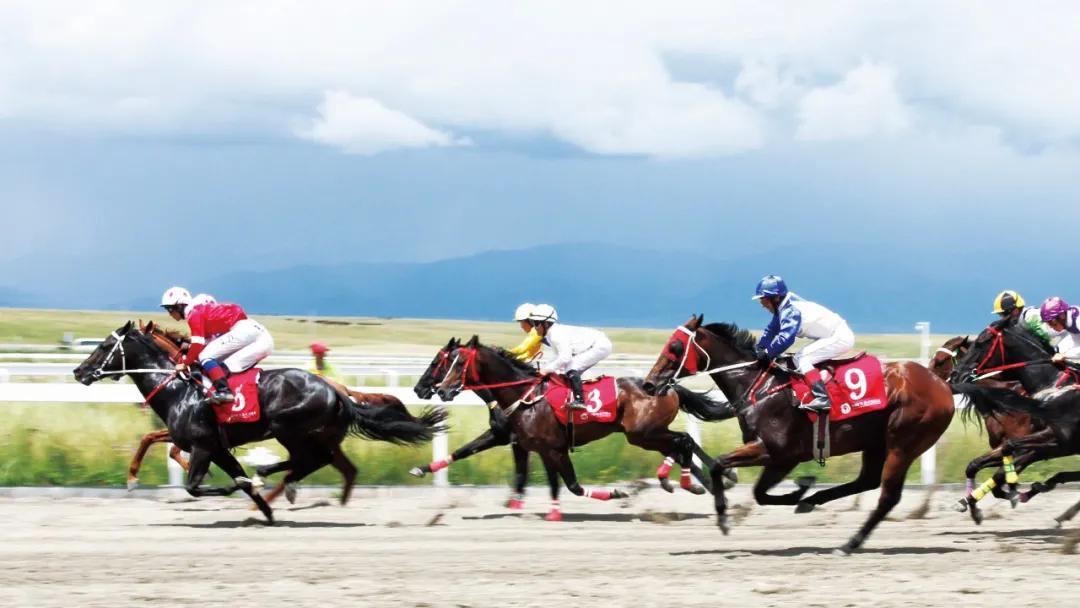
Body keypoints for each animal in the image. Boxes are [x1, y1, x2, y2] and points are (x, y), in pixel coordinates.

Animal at [75, 321, 447, 524]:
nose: (79, 371)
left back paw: (272, 477)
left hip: (289, 428)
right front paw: (262, 512)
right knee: (325, 462)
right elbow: (155, 441)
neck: (181, 388)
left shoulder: (202, 445)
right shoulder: (217, 447)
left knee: (310, 459)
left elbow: (195, 484)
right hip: (313, 434)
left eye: (105, 346)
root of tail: (335, 390)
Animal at [429, 334, 734, 516]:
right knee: (683, 443)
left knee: (683, 440)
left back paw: (689, 481)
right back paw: (706, 483)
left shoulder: (553, 448)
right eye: (445, 363)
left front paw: (616, 492)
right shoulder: (537, 447)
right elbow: (549, 481)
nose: (440, 390)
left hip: (643, 434)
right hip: (648, 434)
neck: (524, 396)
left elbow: (572, 484)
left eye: (458, 364)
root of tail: (666, 386)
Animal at [639, 319, 954, 557]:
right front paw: (800, 491)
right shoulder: (777, 457)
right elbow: (759, 493)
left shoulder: (779, 453)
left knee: (888, 496)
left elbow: (720, 465)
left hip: (903, 444)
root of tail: (939, 382)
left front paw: (724, 519)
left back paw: (849, 543)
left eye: (675, 347)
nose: (649, 384)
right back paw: (814, 501)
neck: (761, 386)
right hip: (876, 443)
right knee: (868, 481)